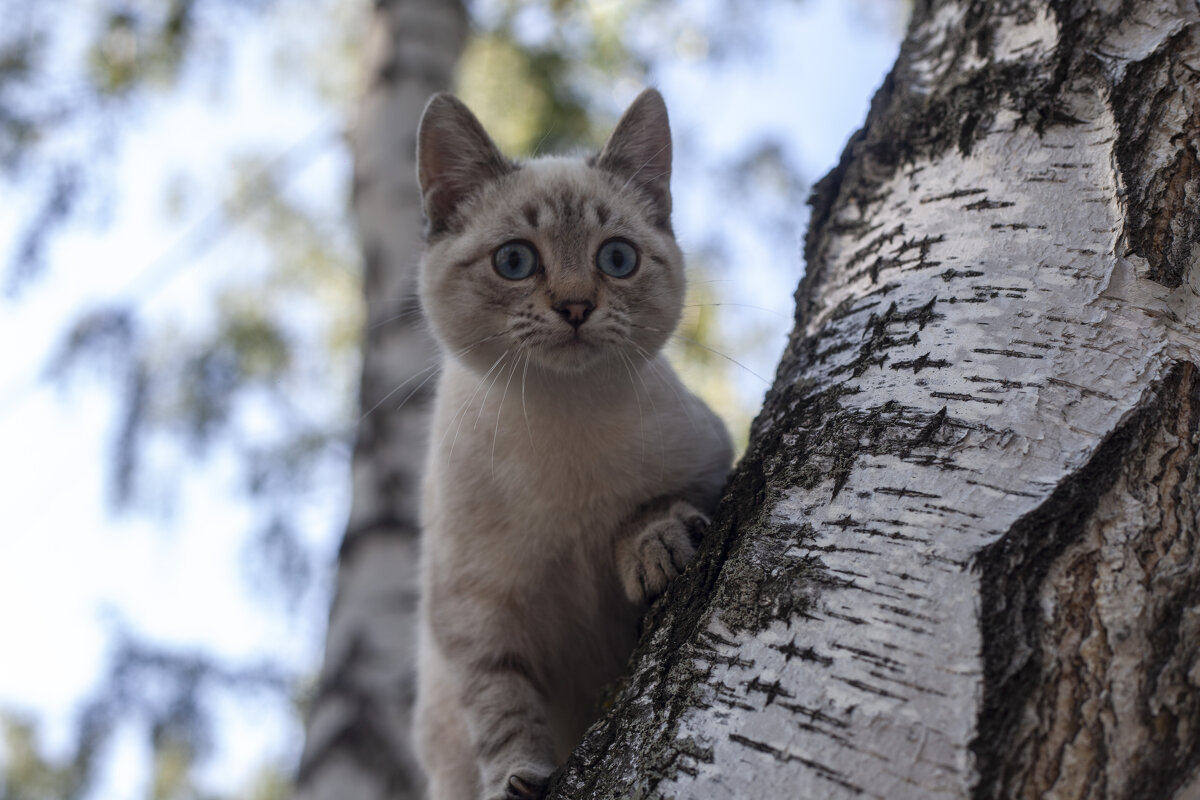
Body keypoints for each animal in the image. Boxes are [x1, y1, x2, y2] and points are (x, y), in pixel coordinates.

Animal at [412, 87, 729, 800]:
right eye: (515, 261)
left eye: (616, 259)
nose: (577, 306)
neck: (561, 426)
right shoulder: (471, 617)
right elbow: (502, 712)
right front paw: (518, 779)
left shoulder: (712, 456)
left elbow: (656, 504)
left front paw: (654, 546)